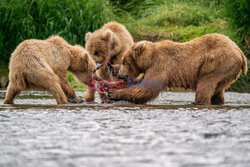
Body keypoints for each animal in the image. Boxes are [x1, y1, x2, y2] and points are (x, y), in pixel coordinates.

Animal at [109, 33, 248, 105]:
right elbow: (141, 82)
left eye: (124, 62)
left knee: (205, 86)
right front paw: (112, 69)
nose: (120, 75)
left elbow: (147, 88)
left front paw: (114, 93)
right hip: (226, 73)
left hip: (217, 64)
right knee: (218, 91)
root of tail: (241, 54)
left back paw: (199, 102)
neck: (149, 58)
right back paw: (218, 101)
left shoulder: (160, 65)